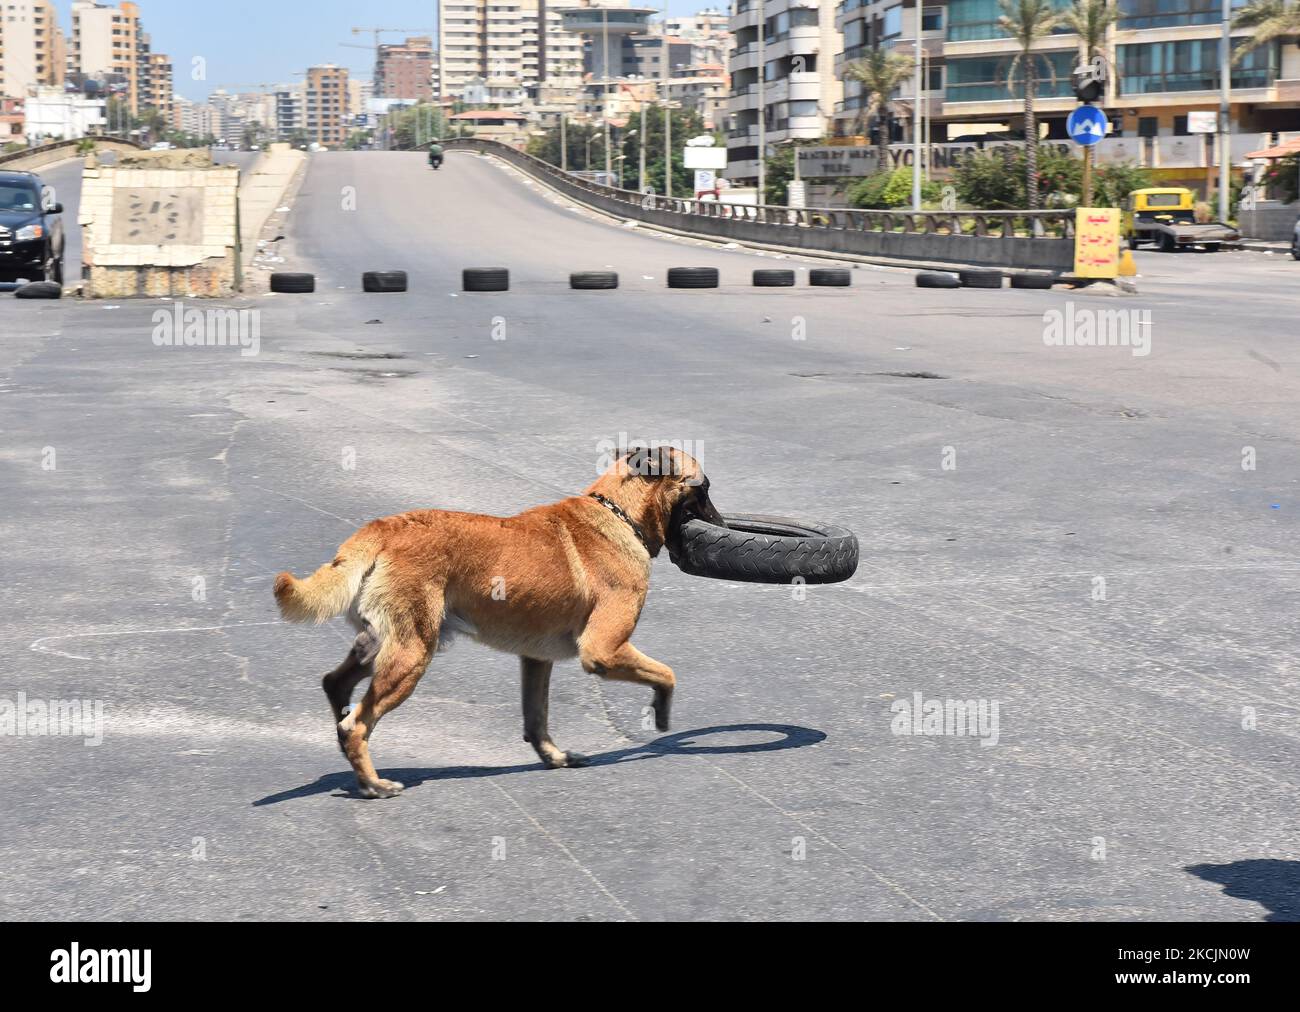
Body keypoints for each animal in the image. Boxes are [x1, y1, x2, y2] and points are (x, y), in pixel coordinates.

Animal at [273, 447, 722, 796]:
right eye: (703, 488)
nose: (721, 526)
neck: (618, 513)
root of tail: (380, 530)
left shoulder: (537, 661)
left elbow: (537, 718)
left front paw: (553, 756)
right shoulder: (604, 650)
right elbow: (667, 674)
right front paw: (660, 713)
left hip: (383, 645)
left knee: (337, 686)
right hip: (412, 654)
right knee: (357, 724)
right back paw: (373, 783)